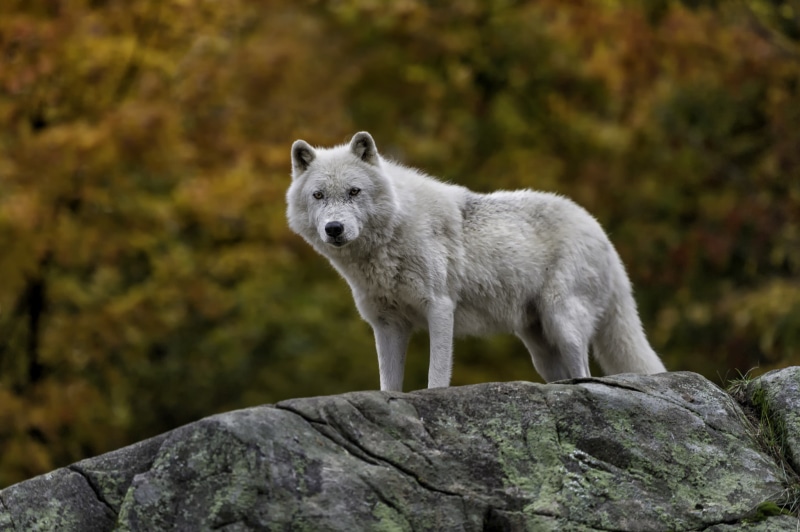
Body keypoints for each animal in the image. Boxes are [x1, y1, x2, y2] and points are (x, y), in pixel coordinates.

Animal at [287, 131, 666, 391]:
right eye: (318, 195)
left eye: (354, 192)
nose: (334, 229)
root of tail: (602, 233)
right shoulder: (387, 324)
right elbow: (388, 385)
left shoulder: (440, 308)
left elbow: (437, 376)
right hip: (540, 345)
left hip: (563, 323)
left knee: (584, 374)